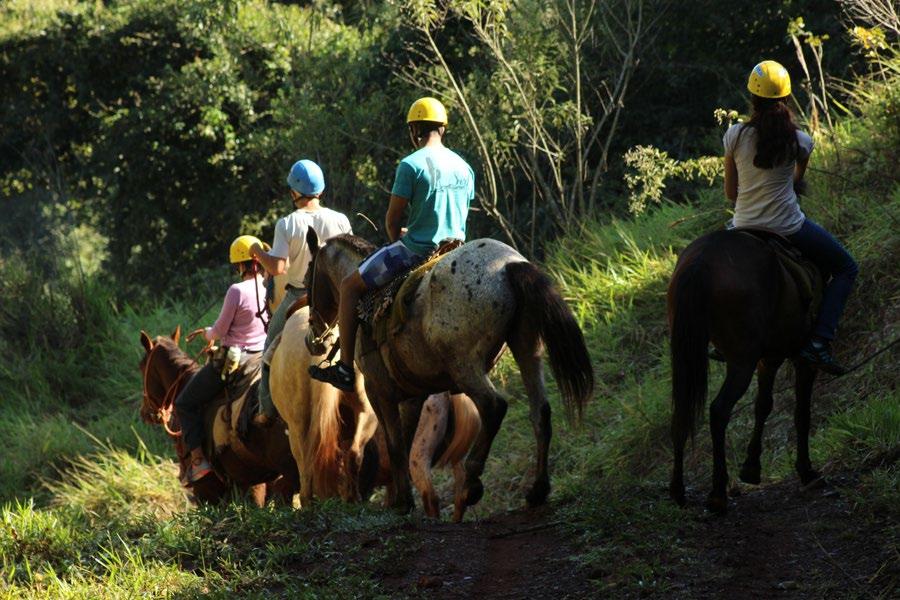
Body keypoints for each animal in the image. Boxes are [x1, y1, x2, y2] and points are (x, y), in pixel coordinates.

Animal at [306, 232, 596, 512]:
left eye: (309, 277)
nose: (313, 339)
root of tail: (509, 263)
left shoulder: (379, 390)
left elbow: (395, 445)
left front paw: (402, 503)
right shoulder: (413, 396)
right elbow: (405, 442)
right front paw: (400, 498)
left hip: (464, 366)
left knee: (494, 406)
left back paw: (472, 483)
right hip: (526, 346)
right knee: (540, 412)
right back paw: (538, 490)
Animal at [668, 232, 824, 512]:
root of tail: (701, 260)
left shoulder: (768, 358)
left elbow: (763, 405)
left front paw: (751, 468)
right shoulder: (802, 360)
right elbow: (801, 413)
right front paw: (806, 471)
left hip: (686, 354)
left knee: (682, 413)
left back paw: (678, 491)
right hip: (742, 361)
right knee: (719, 410)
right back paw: (718, 494)